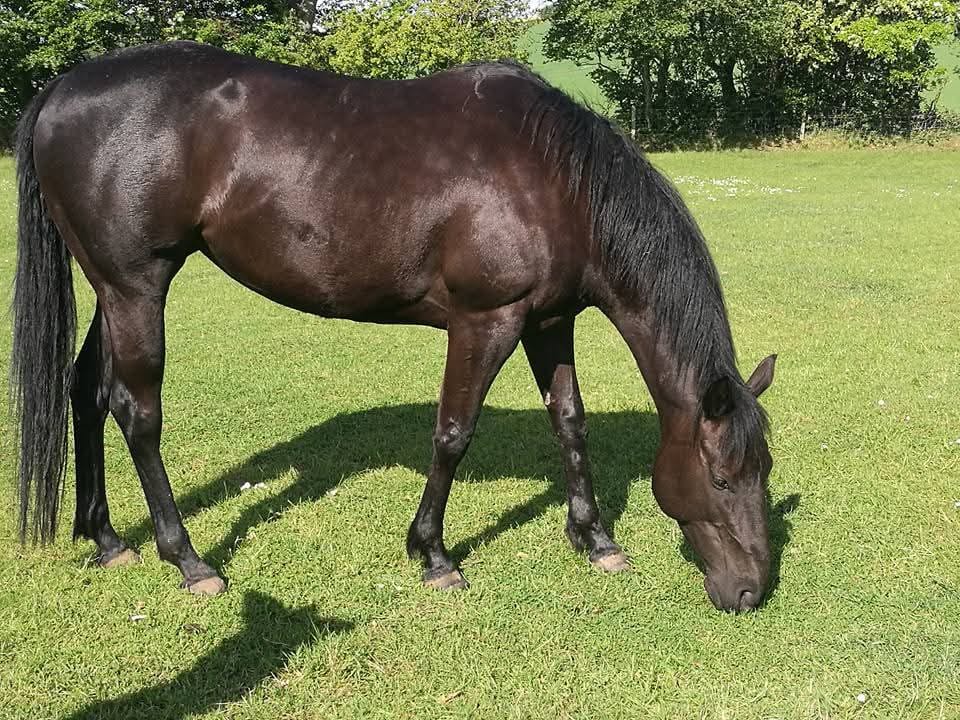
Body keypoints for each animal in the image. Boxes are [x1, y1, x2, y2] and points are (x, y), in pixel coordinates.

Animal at [10, 41, 776, 612]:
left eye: (763, 469)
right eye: (722, 475)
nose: (750, 592)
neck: (554, 179)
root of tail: (63, 87)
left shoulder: (548, 323)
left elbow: (570, 422)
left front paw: (595, 540)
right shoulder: (485, 323)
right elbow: (453, 434)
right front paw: (433, 554)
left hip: (111, 290)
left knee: (87, 392)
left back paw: (107, 540)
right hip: (137, 285)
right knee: (137, 412)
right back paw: (189, 560)